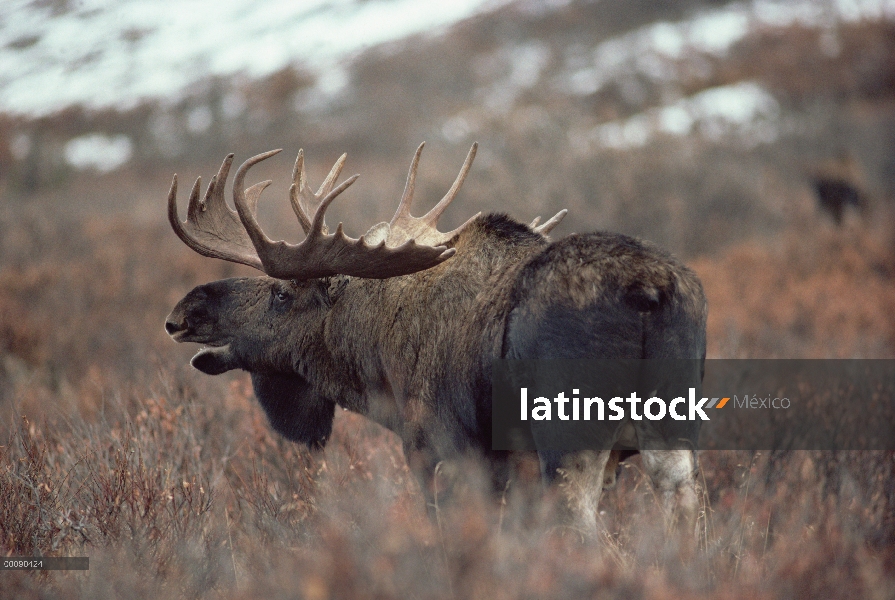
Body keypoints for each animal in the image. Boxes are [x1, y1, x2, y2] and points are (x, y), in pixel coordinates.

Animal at [166, 143, 708, 528]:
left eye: (281, 295)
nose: (185, 313)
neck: (375, 366)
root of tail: (649, 290)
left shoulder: (439, 449)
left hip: (569, 431)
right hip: (672, 425)